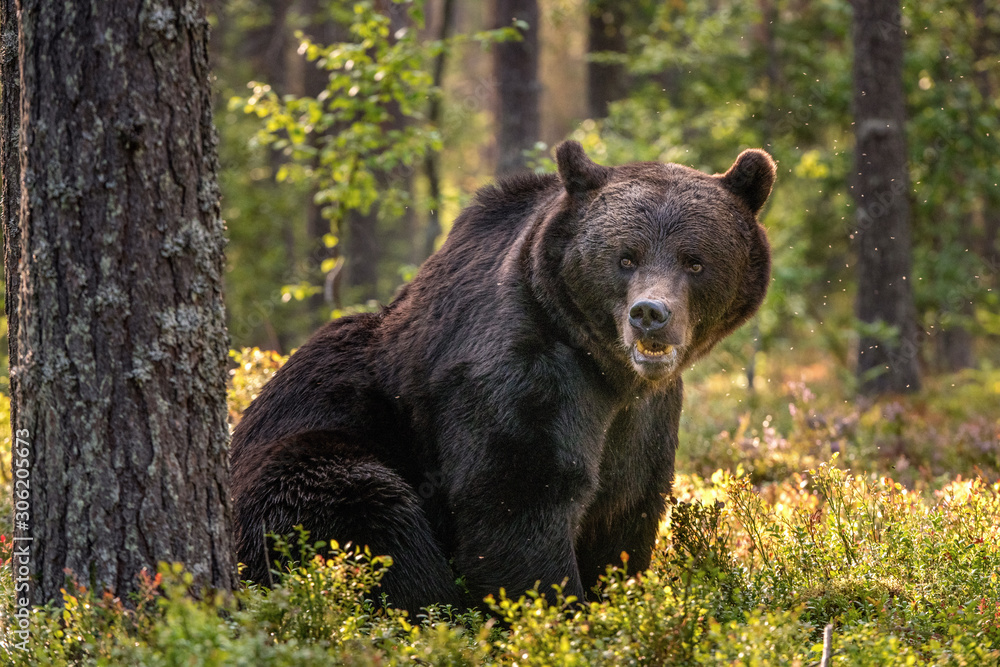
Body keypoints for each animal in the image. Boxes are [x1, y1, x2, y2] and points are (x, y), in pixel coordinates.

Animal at [229, 141, 772, 612]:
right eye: (626, 257)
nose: (649, 314)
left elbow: (626, 513)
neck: (608, 369)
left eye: (694, 261)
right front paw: (557, 613)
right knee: (365, 506)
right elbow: (518, 497)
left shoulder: (646, 417)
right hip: (303, 466)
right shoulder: (519, 371)